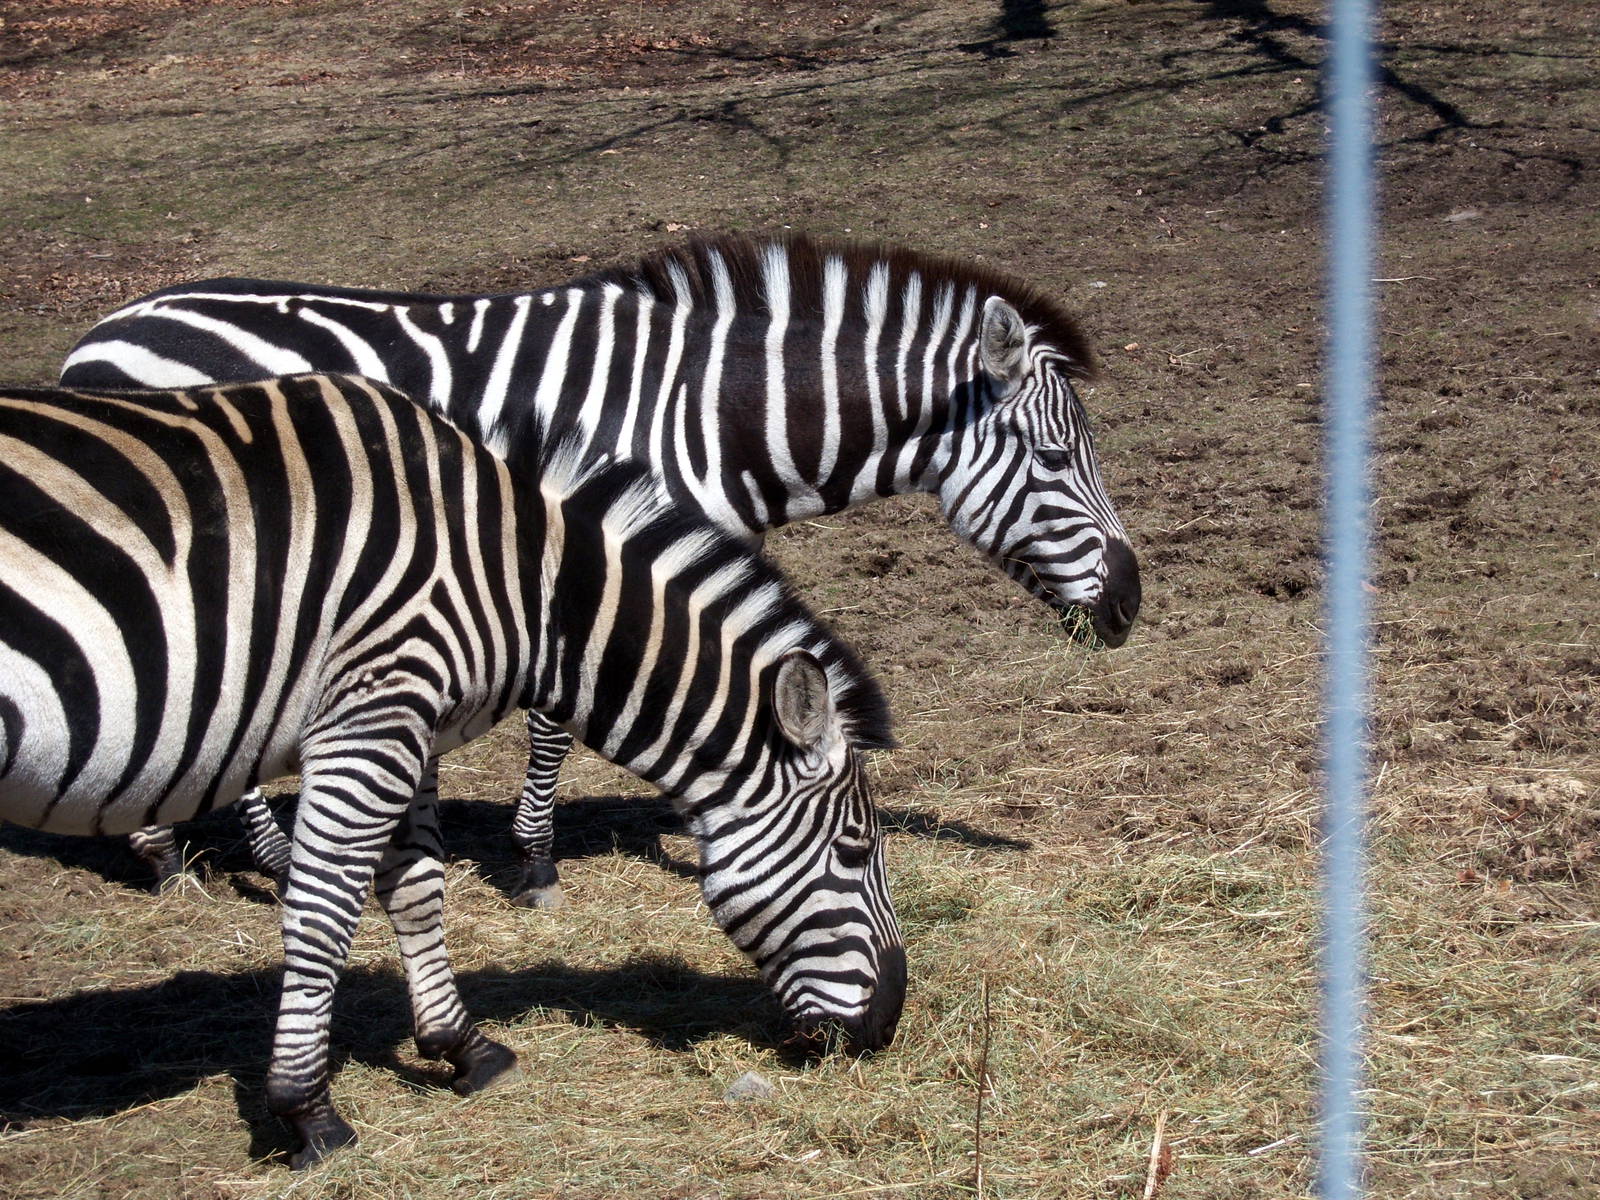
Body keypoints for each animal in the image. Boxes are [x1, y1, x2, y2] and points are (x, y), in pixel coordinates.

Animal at [0, 374, 904, 1168]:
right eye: (857, 852)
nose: (889, 1028)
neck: (522, 580)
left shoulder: (411, 727)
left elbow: (417, 888)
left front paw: (461, 1046)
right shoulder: (372, 712)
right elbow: (324, 915)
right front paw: (307, 1113)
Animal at [60, 233, 1143, 906]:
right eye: (1058, 459)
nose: (1131, 605)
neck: (709, 411)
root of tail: (98, 337)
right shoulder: (589, 545)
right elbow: (554, 724)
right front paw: (536, 860)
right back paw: (210, 859)